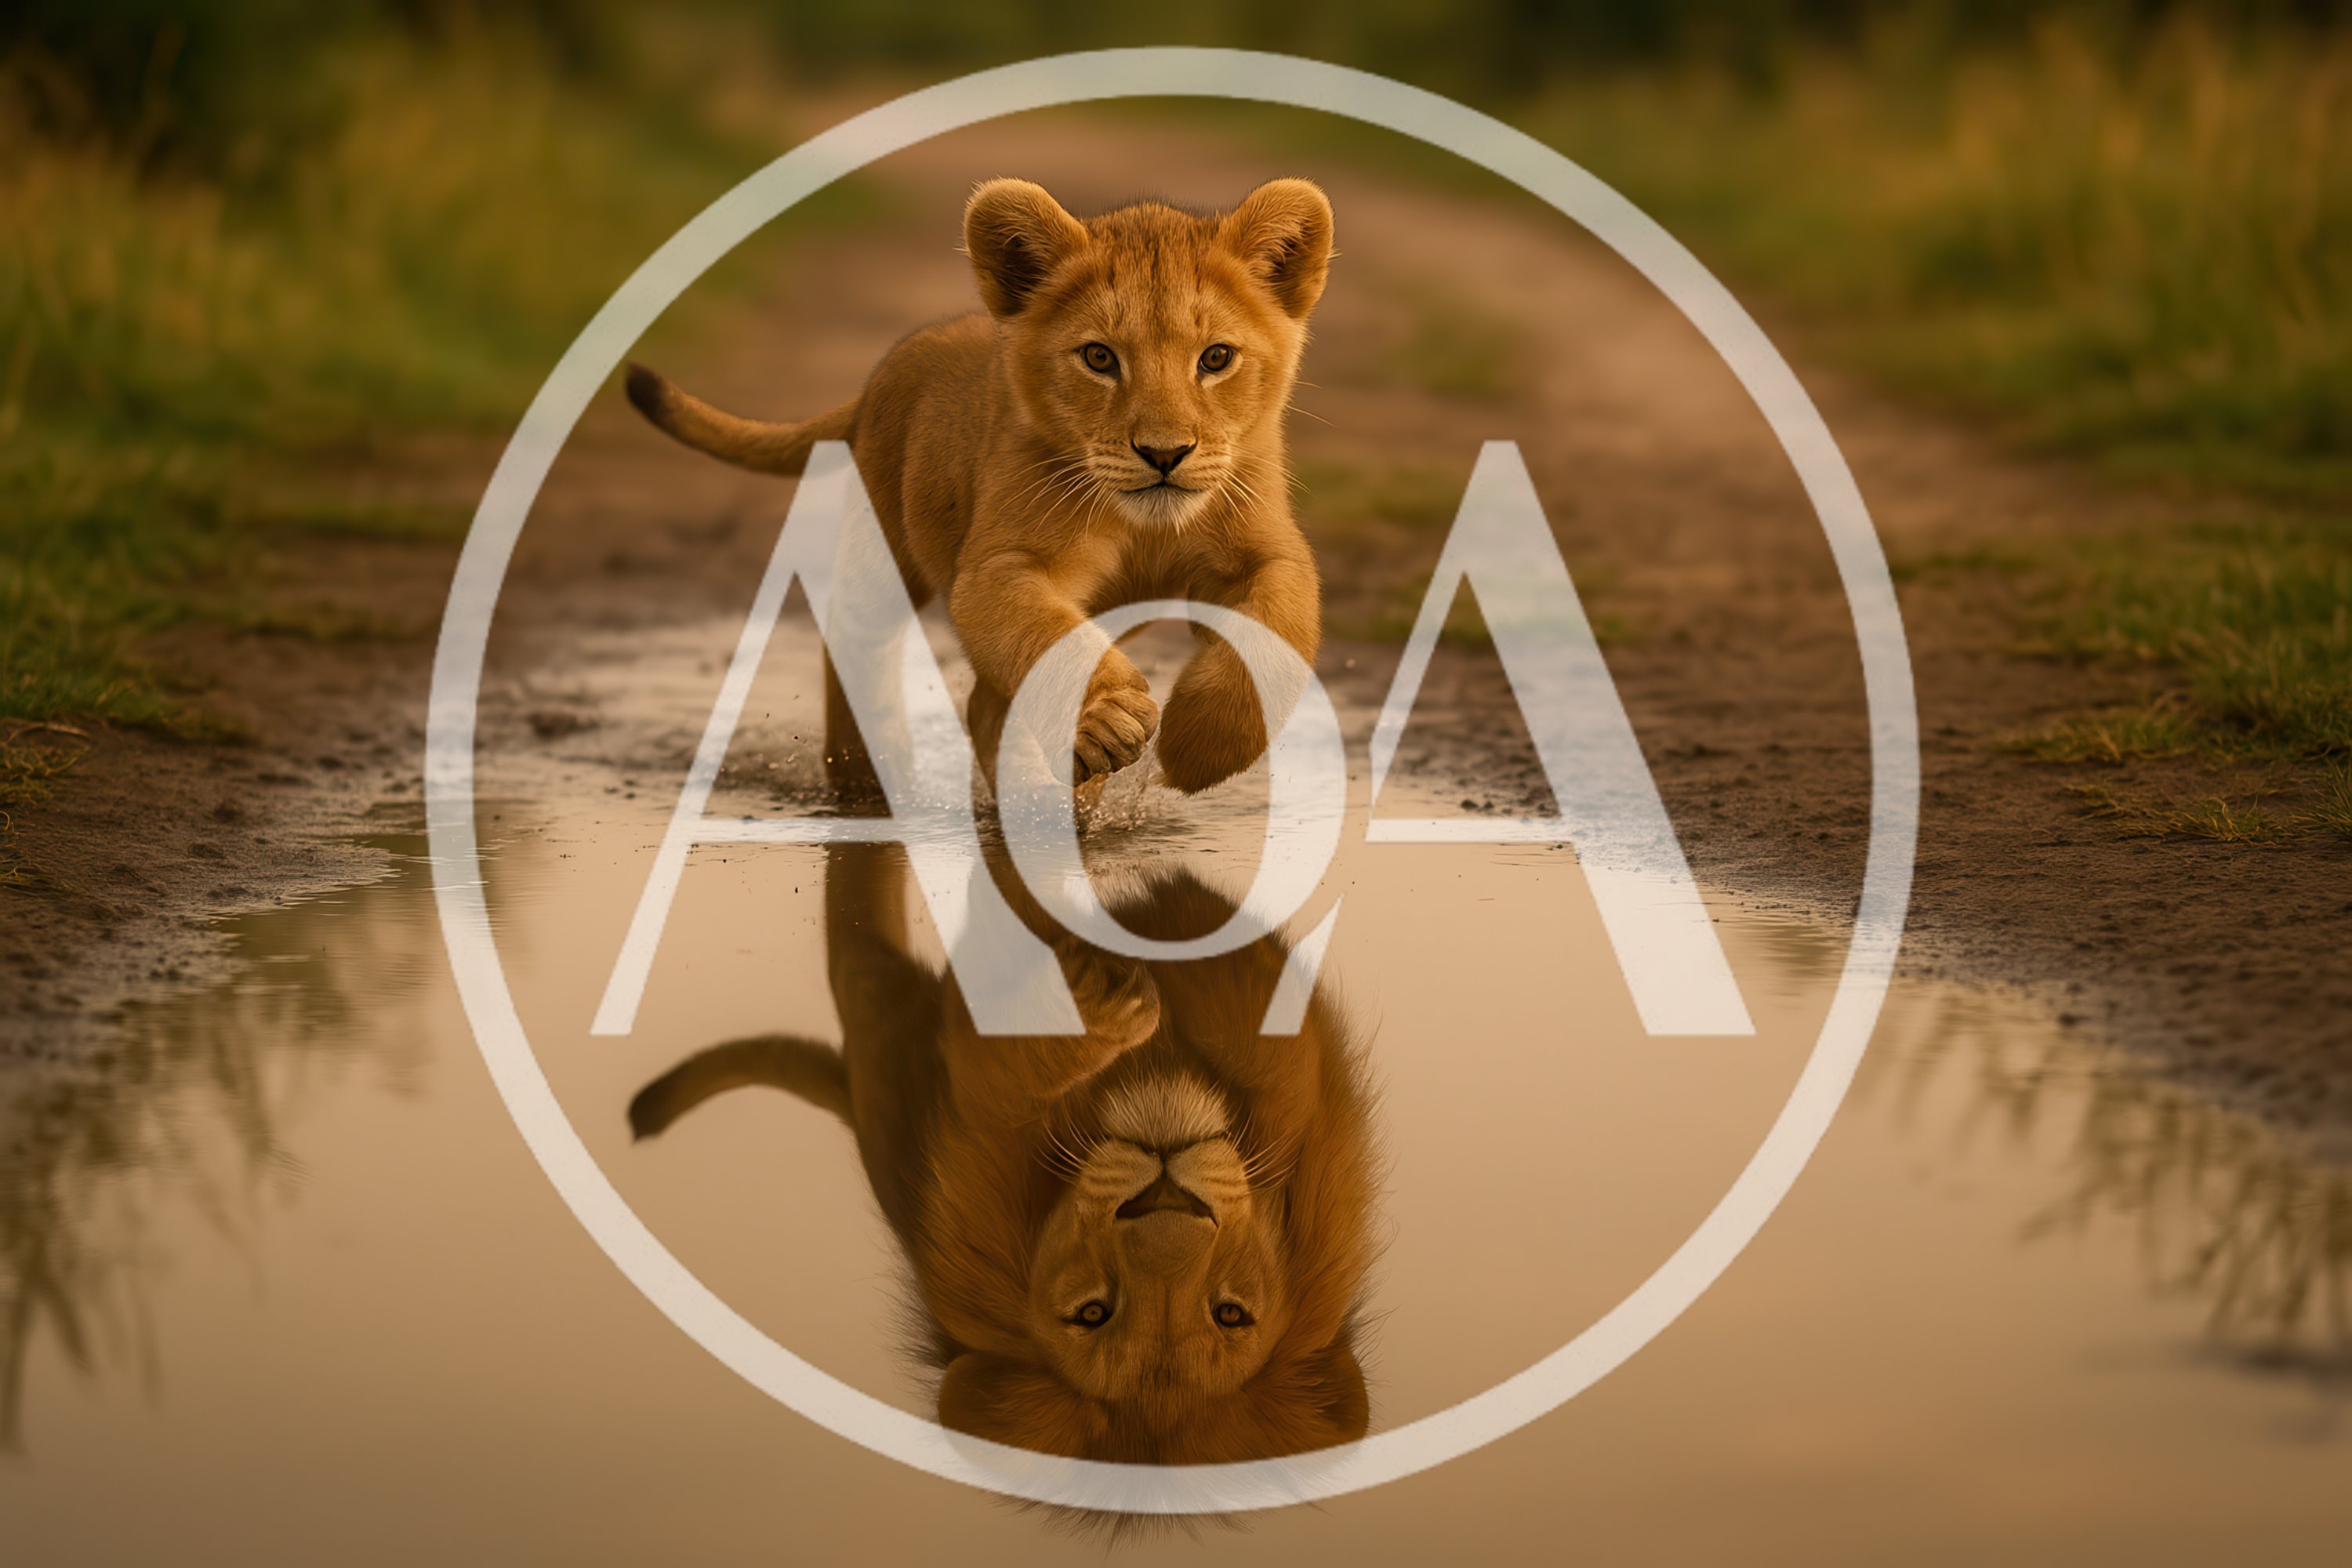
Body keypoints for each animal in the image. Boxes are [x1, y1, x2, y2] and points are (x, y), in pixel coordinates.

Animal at [624, 176, 1333, 794]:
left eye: (1216, 358)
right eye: (1099, 357)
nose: (1165, 454)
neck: (1142, 527)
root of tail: (880, 377)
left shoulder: (1266, 553)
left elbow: (1278, 632)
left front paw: (1194, 750)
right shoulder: (998, 566)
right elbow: (1046, 635)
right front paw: (1111, 722)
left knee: (985, 705)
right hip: (884, 550)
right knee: (858, 638)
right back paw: (871, 779)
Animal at [628, 837, 1383, 1466]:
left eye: (1232, 1314)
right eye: (1092, 1313)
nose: (1165, 1199)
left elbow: (1265, 1038)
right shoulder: (980, 1128)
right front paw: (1102, 997)